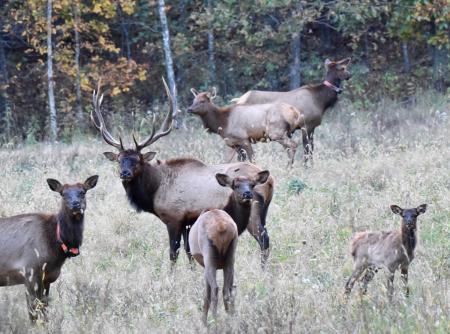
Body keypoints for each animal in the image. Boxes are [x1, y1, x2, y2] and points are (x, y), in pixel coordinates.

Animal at [0, 175, 98, 320]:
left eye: (83, 192)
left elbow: (45, 311)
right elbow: (34, 314)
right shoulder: (30, 272)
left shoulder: (47, 279)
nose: (75, 204)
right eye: (63, 193)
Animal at [90, 79, 274, 266]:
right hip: (263, 212)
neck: (154, 191)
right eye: (119, 160)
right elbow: (189, 251)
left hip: (251, 209)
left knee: (264, 240)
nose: (125, 173)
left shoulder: (174, 218)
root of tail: (270, 180)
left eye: (137, 160)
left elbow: (174, 252)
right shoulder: (188, 221)